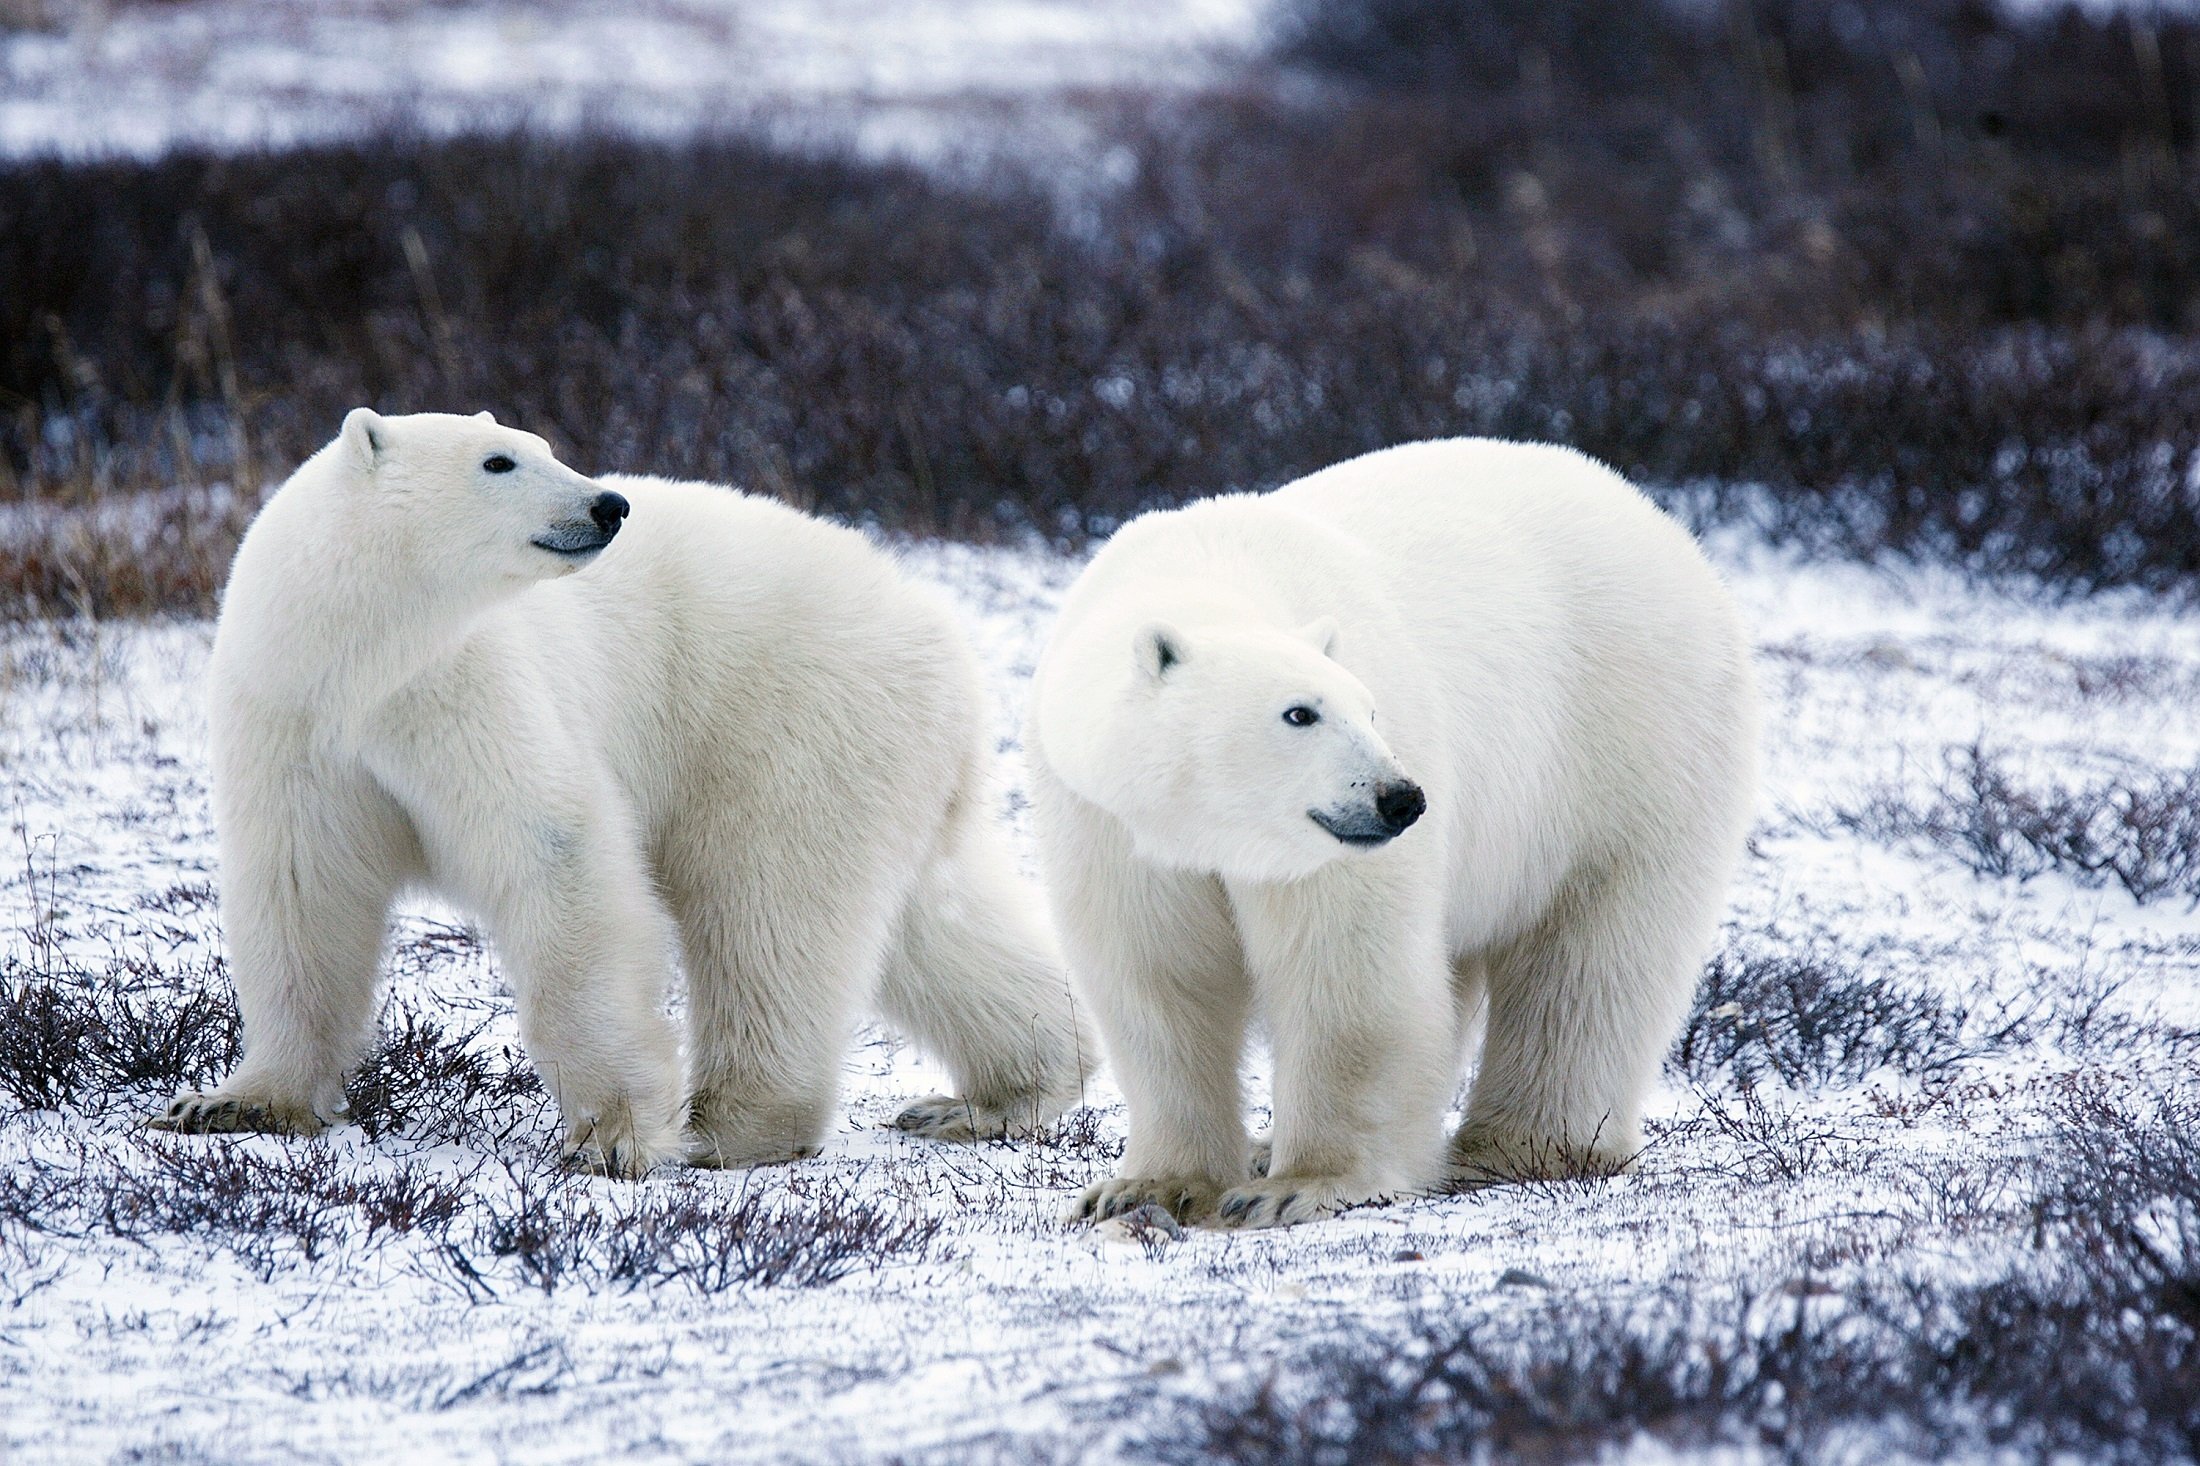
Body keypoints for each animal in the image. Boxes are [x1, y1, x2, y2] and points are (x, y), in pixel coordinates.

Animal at [150, 405, 1086, 1171]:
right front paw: (232, 1103)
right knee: (927, 922)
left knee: (767, 910)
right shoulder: (295, 720)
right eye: (499, 460)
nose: (609, 505)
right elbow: (302, 892)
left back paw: (729, 1126)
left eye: (543, 446)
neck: (363, 658)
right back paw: (999, 1094)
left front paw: (612, 1137)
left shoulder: (467, 689)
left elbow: (557, 856)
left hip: (788, 720)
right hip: (880, 756)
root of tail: (942, 632)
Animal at [1025, 433, 1751, 1223]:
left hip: (1629, 743)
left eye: (1369, 709)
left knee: (1591, 958)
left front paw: (1297, 1187)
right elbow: (1158, 979)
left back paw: (1518, 1147)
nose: (1400, 799)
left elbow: (1348, 973)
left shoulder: (1328, 851)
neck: (1208, 571)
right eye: (1300, 712)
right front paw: (1146, 1188)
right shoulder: (1110, 823)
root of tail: (1659, 521)